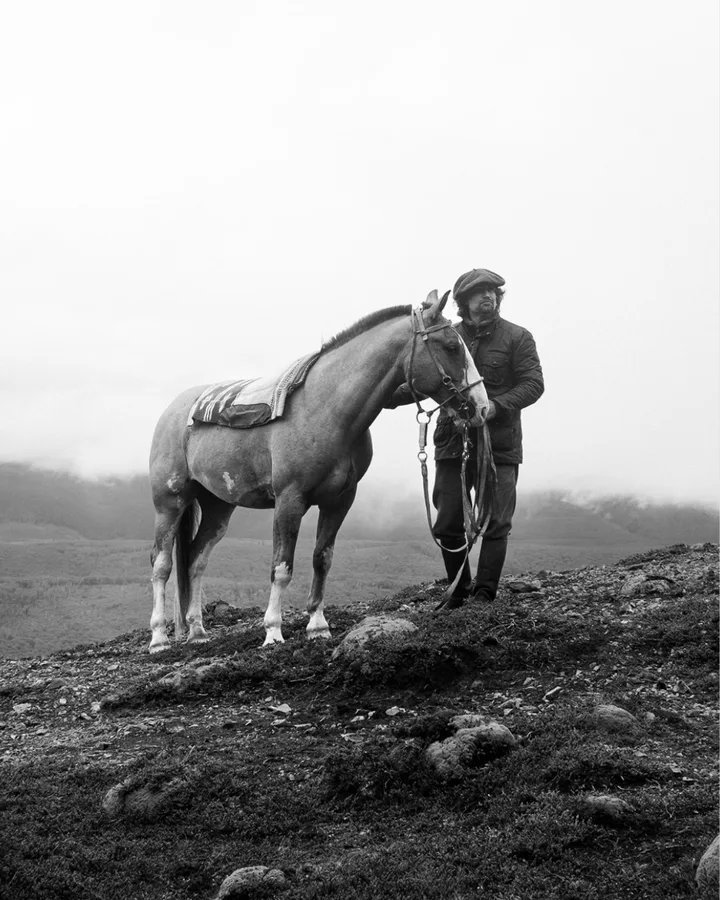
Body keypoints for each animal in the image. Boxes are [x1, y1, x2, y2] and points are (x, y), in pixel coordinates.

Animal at [147, 289, 490, 652]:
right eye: (451, 346)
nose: (484, 407)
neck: (326, 408)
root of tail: (174, 410)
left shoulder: (339, 501)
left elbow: (322, 559)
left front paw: (318, 626)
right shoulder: (289, 500)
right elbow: (282, 566)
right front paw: (273, 631)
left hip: (217, 505)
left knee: (196, 559)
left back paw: (198, 631)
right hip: (170, 501)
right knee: (161, 563)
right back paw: (158, 638)